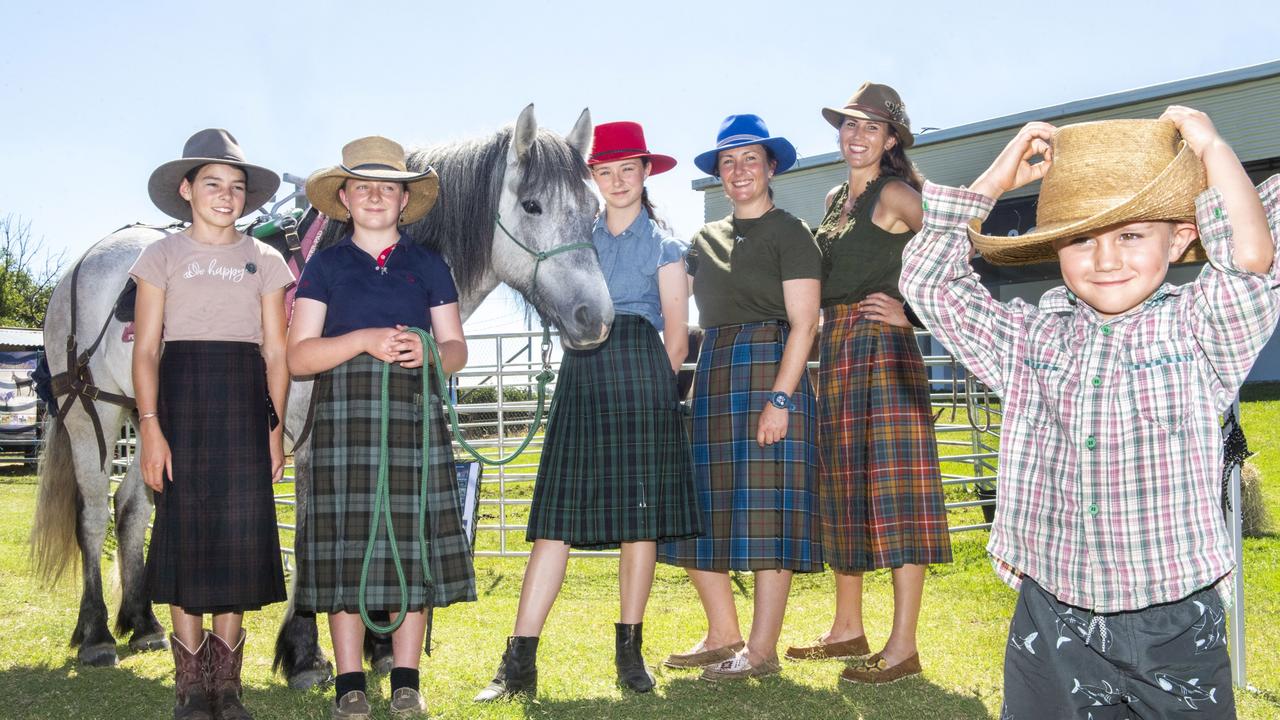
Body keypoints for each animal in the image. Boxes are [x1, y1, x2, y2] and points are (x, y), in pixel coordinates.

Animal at [30, 105, 609, 676]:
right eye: (532, 205)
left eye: (594, 210)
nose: (595, 318)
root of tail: (87, 261)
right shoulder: (312, 439)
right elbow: (312, 536)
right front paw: (304, 650)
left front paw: (380, 645)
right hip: (89, 412)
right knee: (93, 514)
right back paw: (97, 634)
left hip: (144, 420)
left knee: (131, 507)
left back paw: (143, 622)